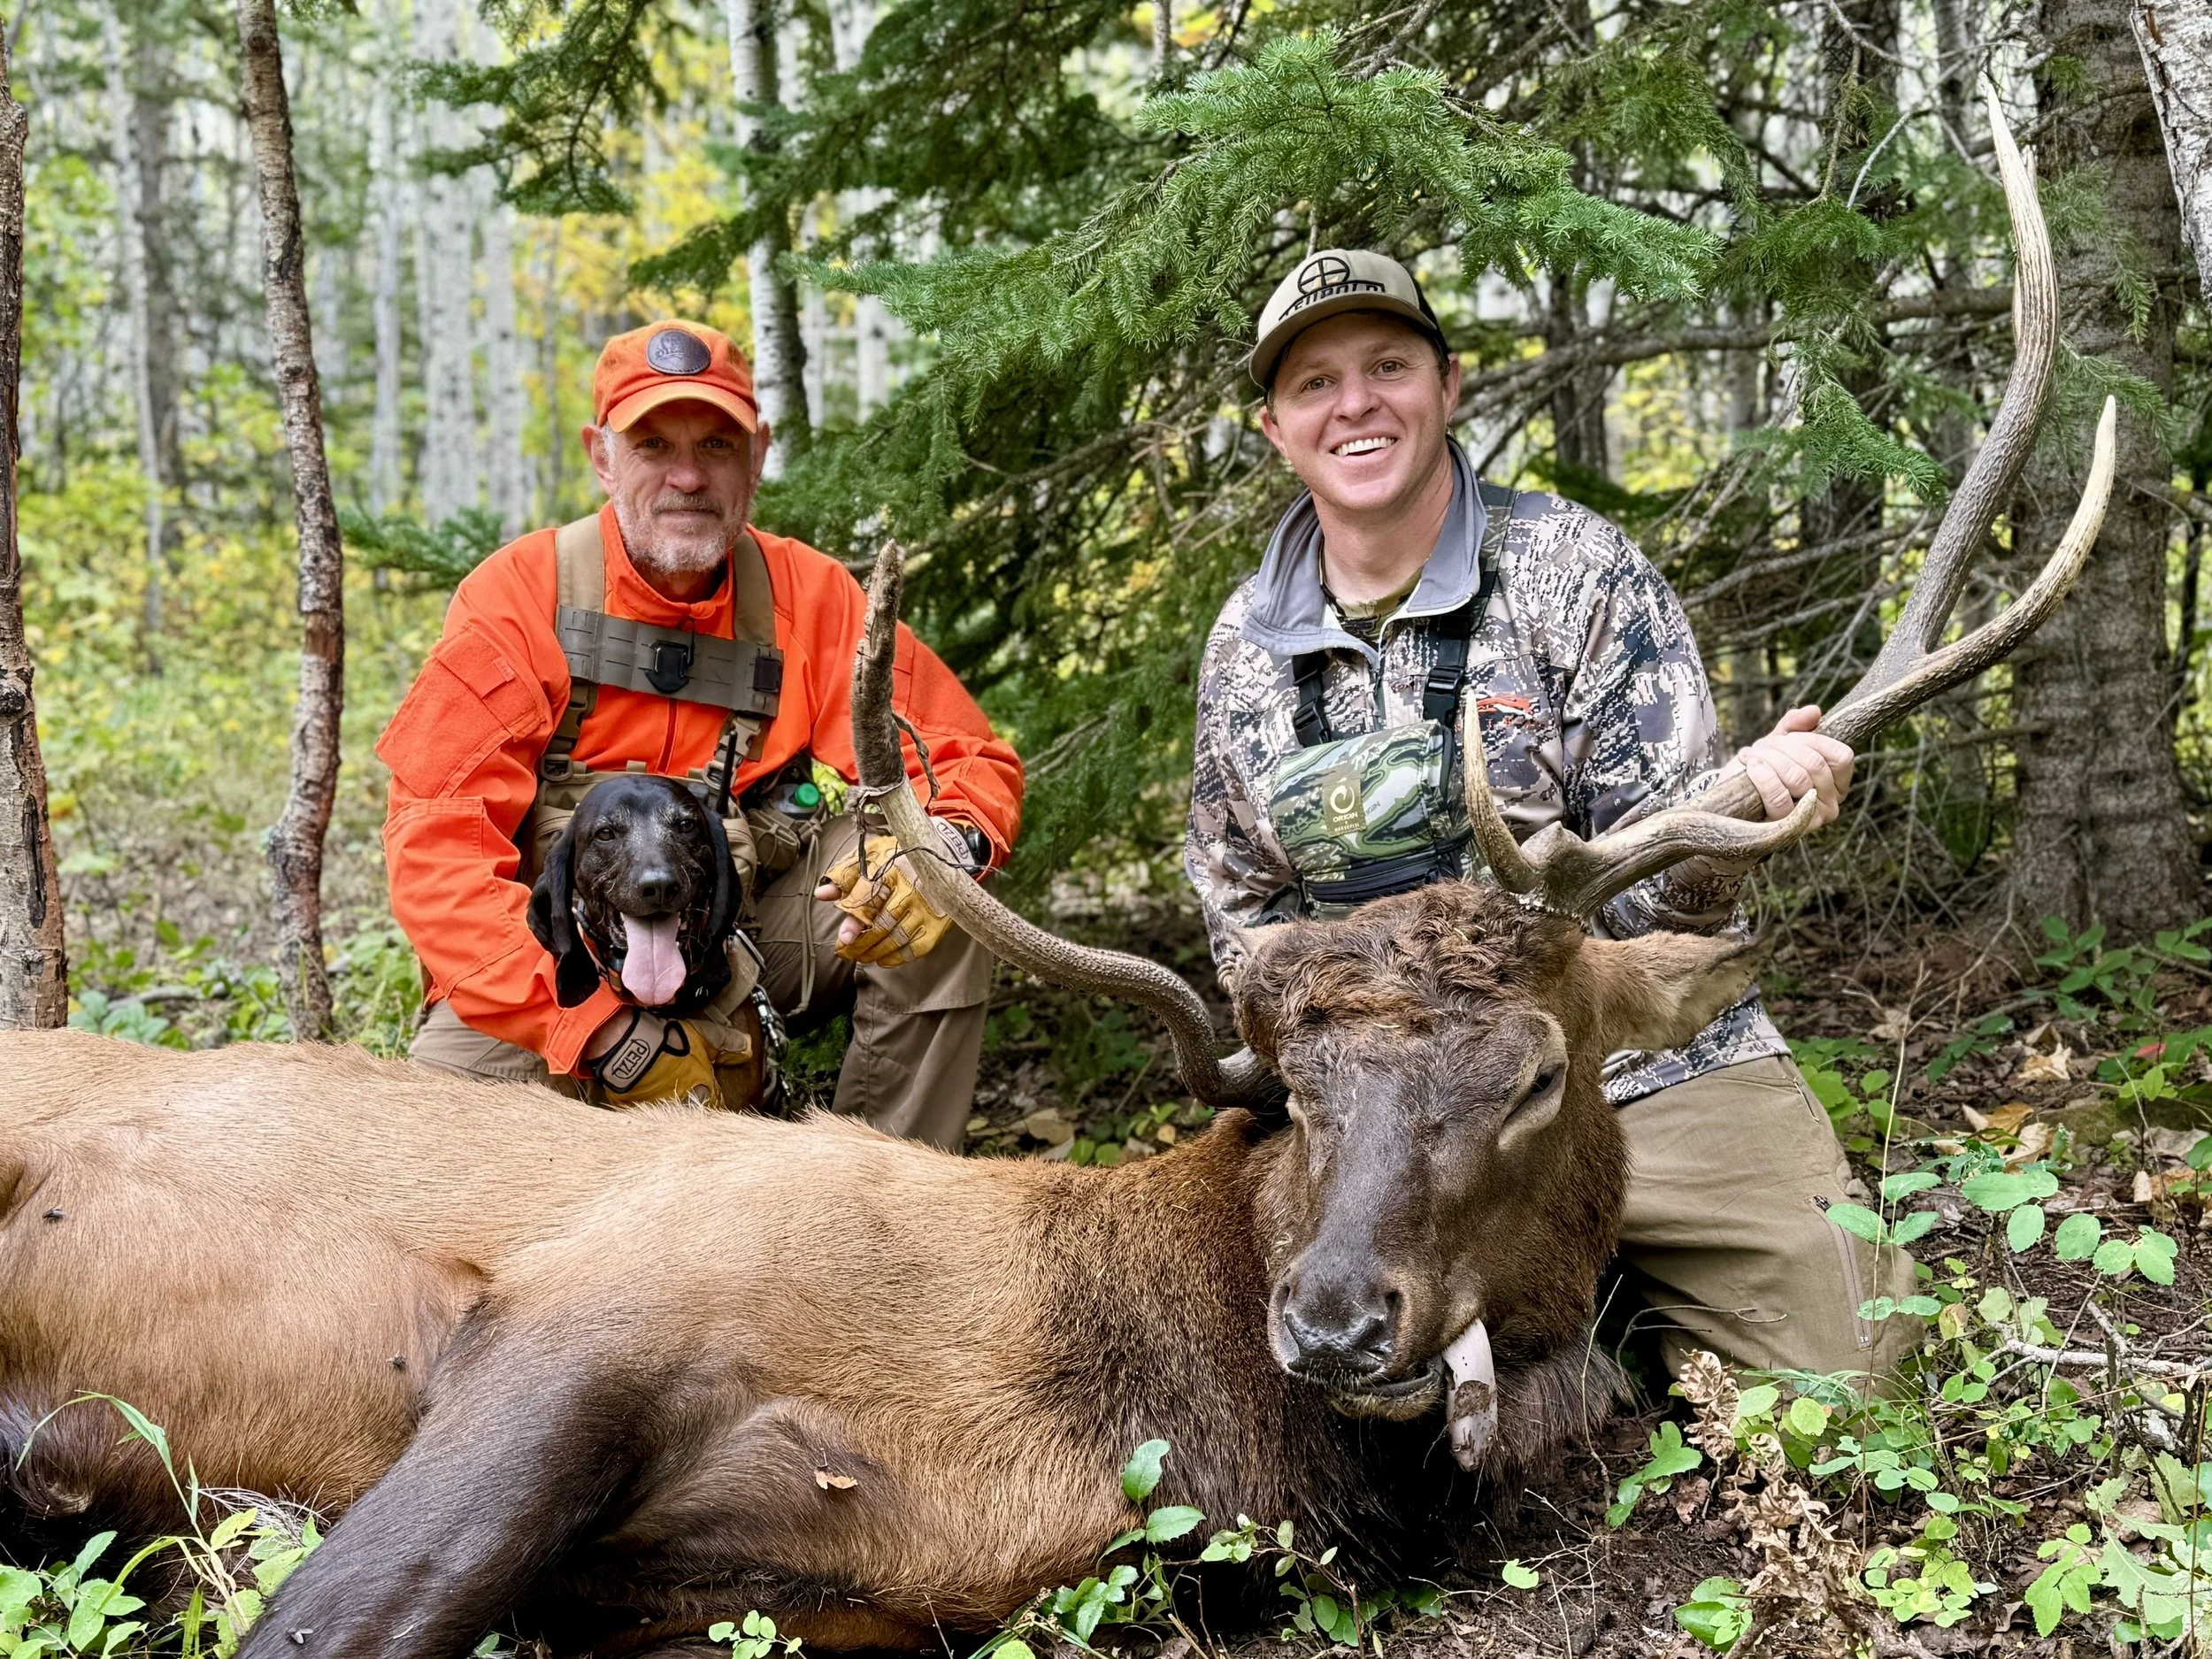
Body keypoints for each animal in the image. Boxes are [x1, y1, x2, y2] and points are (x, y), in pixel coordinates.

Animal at [0, 98, 2114, 1659]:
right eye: (1295, 1090)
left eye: (1530, 1071)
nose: (1334, 1319)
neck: (1102, 1390)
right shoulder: (582, 1315)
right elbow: (327, 1616)